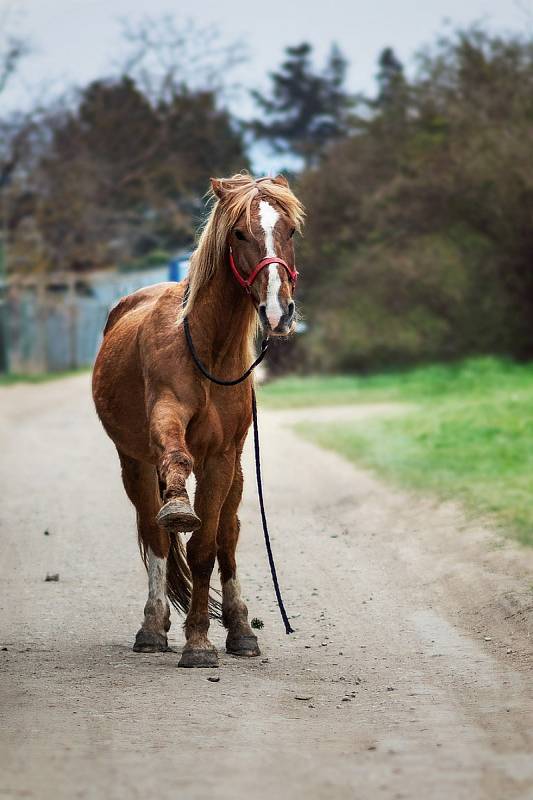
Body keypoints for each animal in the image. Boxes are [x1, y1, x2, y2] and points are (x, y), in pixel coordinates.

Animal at [91, 175, 304, 668]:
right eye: (239, 234)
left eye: (290, 231)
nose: (278, 311)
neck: (208, 348)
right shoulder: (165, 420)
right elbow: (174, 474)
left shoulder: (222, 458)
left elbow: (207, 547)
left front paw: (202, 639)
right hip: (133, 464)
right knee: (154, 534)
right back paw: (152, 627)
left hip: (239, 470)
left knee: (228, 533)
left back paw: (241, 629)